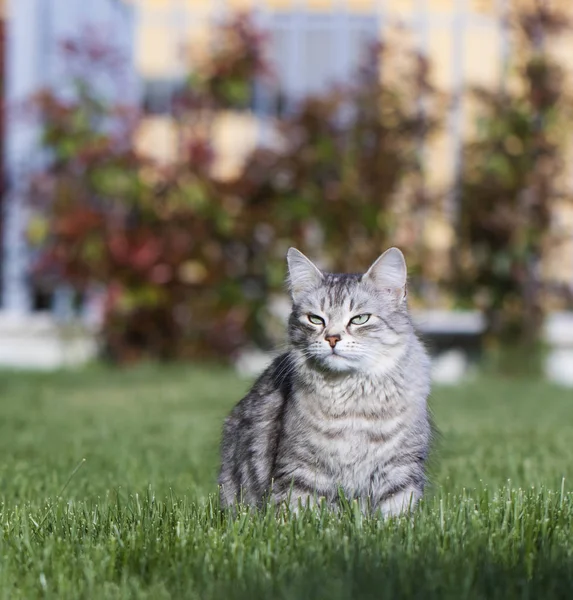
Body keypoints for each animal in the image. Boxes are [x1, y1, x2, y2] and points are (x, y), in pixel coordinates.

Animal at [217, 247, 432, 516]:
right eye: (315, 319)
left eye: (359, 319)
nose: (332, 338)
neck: (352, 403)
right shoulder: (301, 467)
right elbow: (299, 515)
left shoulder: (400, 467)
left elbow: (396, 515)